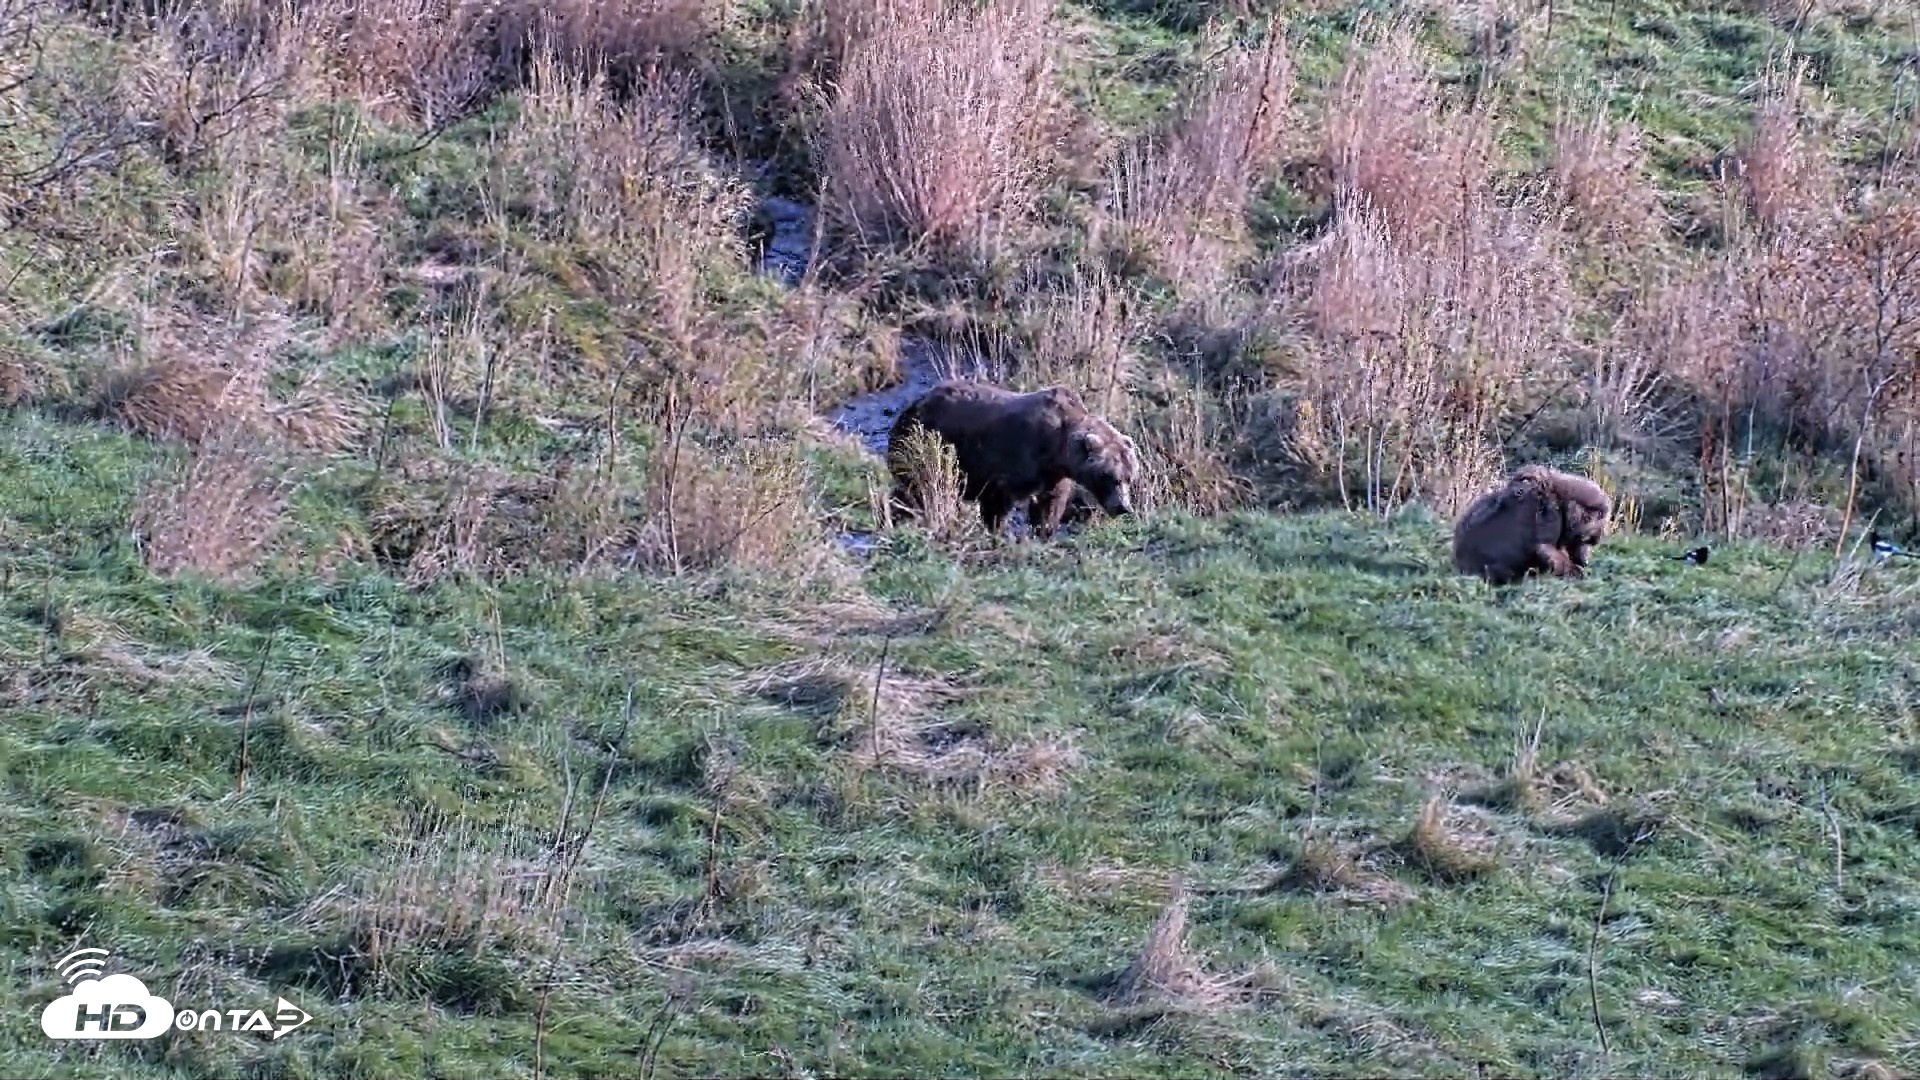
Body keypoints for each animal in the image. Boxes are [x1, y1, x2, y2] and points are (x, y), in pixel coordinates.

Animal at [886, 378, 1141, 539]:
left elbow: (1050, 504)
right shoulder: (1012, 457)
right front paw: (999, 532)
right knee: (920, 489)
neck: (1056, 447)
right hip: (927, 441)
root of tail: (912, 405)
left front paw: (1044, 532)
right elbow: (997, 501)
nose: (1123, 507)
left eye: (1130, 477)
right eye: (1108, 476)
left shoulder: (1054, 476)